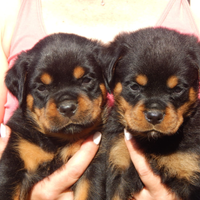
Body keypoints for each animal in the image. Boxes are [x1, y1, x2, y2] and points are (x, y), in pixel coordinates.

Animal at [0, 33, 108, 200]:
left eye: (86, 79)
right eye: (42, 88)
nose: (67, 108)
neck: (58, 141)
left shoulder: (93, 167)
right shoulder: (15, 159)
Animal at [104, 27, 200, 200]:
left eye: (177, 89)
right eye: (134, 86)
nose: (154, 116)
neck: (153, 142)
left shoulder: (190, 171)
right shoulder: (119, 163)